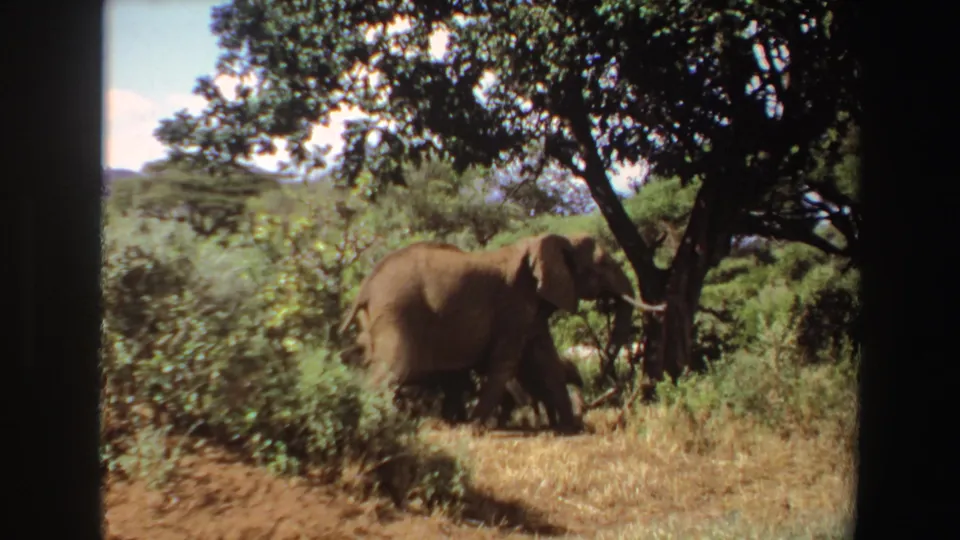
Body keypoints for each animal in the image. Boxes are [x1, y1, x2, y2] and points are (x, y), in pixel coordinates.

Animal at [338, 233, 659, 433]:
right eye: (602, 264)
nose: (604, 375)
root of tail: (365, 288)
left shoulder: (532, 308)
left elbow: (546, 360)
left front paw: (571, 428)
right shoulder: (514, 303)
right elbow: (507, 362)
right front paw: (473, 428)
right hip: (398, 312)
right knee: (393, 370)